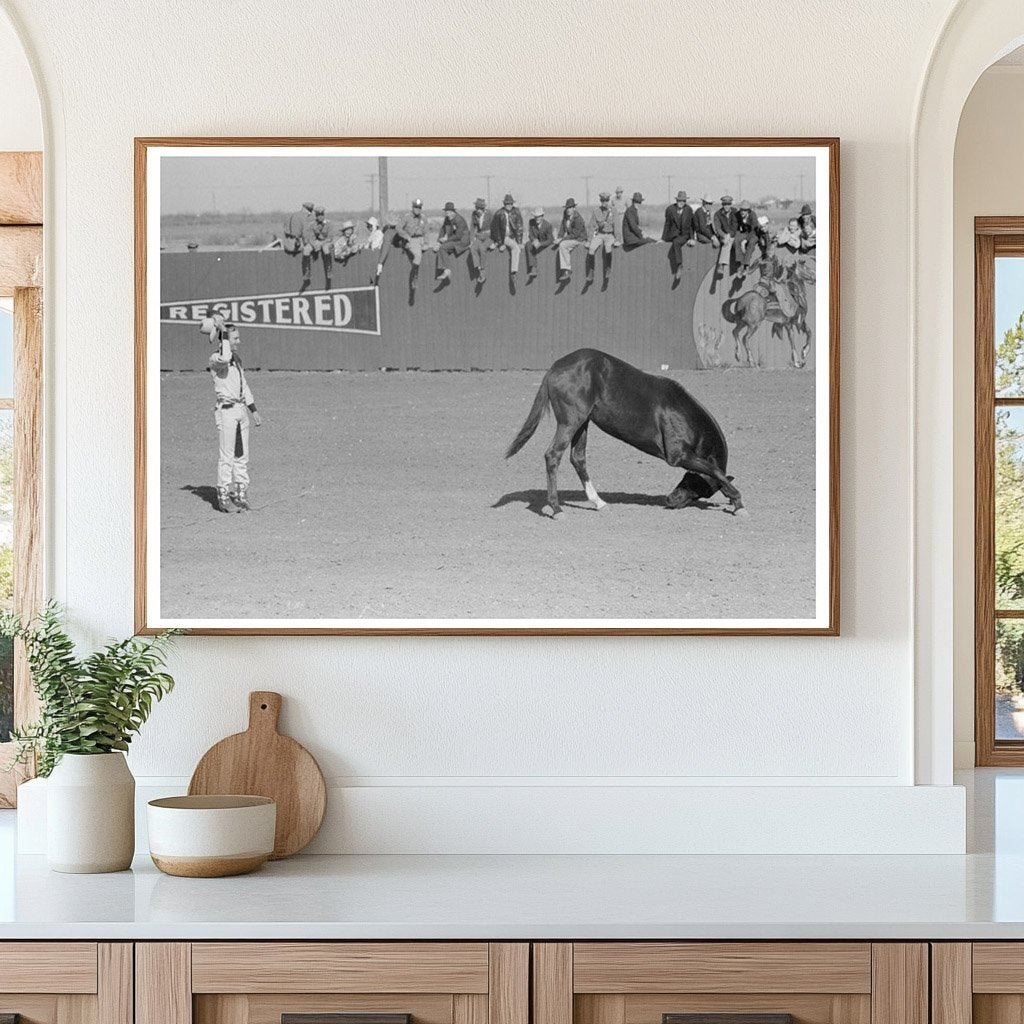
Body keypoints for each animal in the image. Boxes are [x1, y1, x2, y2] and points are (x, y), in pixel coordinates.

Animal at [503, 350, 745, 520]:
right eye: (698, 485)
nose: (670, 500)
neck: (679, 410)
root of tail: (554, 368)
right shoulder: (678, 456)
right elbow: (715, 470)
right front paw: (738, 503)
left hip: (582, 423)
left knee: (577, 458)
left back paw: (599, 503)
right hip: (570, 422)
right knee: (553, 456)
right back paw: (557, 509)